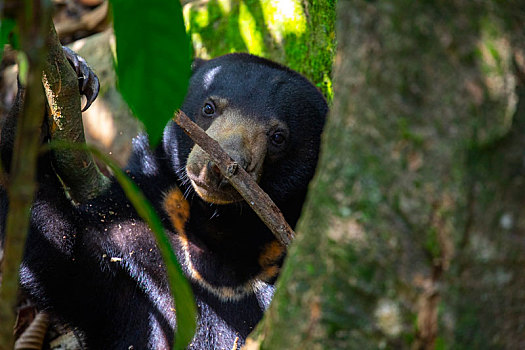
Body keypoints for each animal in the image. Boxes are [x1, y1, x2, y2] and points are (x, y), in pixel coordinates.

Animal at [1, 50, 328, 348]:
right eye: (209, 107)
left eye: (278, 137)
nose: (218, 166)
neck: (220, 229)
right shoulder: (136, 226)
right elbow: (63, 256)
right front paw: (58, 78)